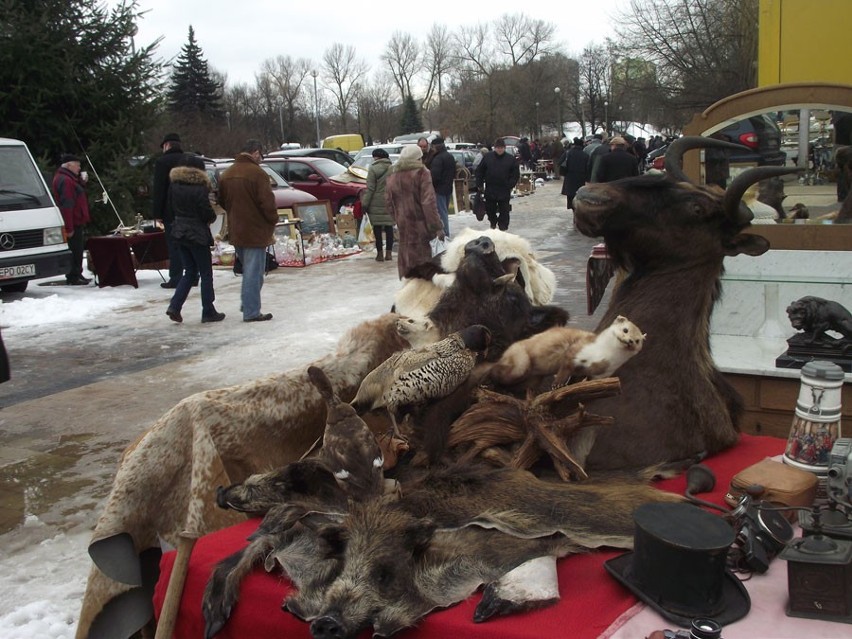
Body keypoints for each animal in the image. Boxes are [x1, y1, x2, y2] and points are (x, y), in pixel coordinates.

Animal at [490, 316, 644, 390]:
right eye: (625, 330)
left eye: (637, 340)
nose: (630, 341)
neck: (603, 357)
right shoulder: (578, 349)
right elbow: (565, 367)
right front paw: (558, 384)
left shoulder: (599, 375)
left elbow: (579, 379)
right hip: (520, 362)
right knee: (496, 370)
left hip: (533, 379)